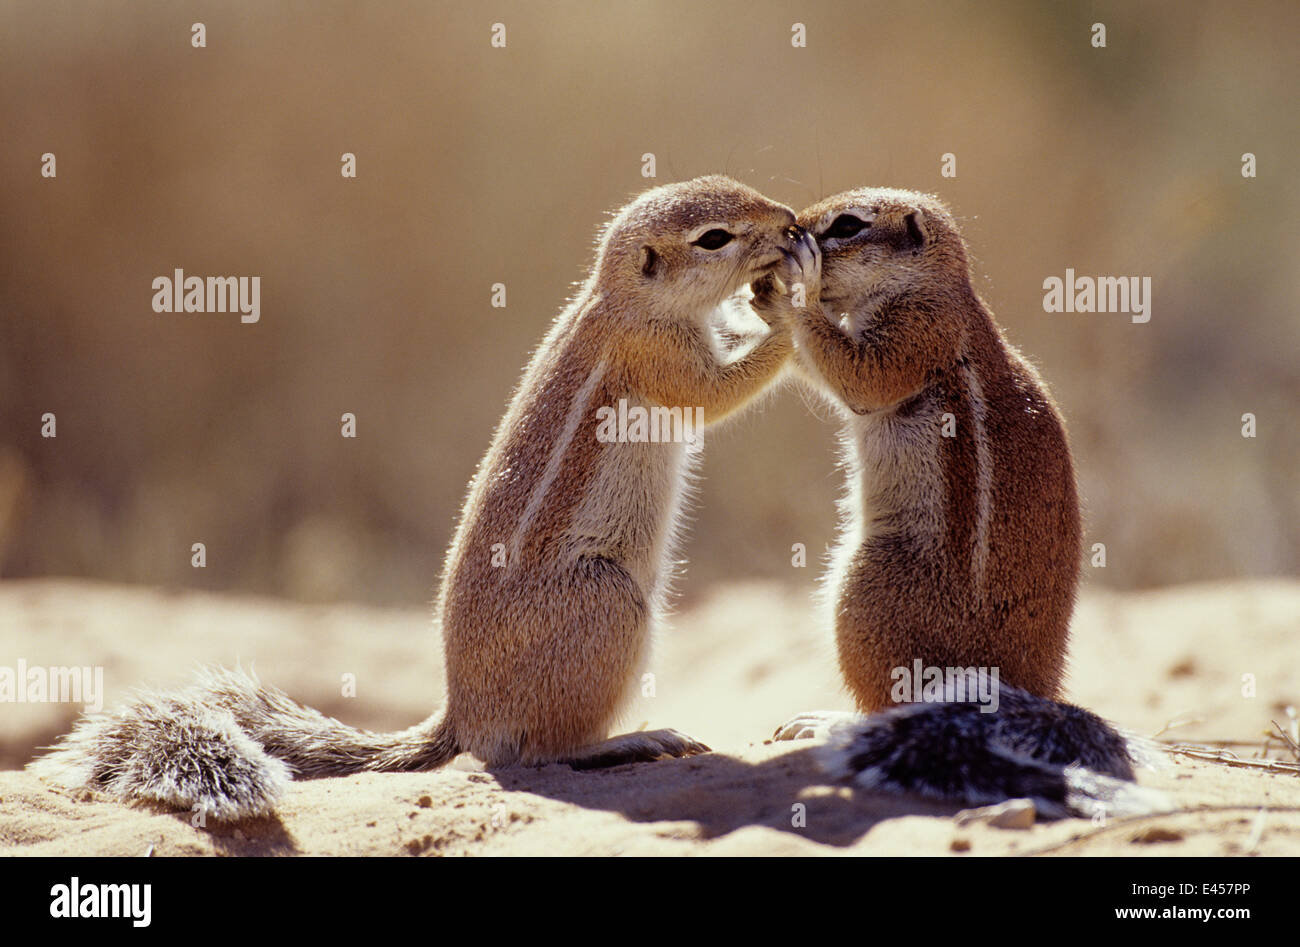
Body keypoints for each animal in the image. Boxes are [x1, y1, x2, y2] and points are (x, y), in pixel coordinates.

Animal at [35, 175, 816, 822]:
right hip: (609, 600)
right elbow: (718, 392)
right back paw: (631, 739)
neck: (624, 296)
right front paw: (793, 306)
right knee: (532, 751)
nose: (787, 220)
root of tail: (460, 714)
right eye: (713, 238)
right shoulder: (657, 355)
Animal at [769, 188, 1170, 816]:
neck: (932, 287)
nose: (792, 231)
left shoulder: (917, 334)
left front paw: (791, 284)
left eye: (848, 226)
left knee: (887, 704)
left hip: (866, 589)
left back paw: (827, 723)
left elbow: (860, 376)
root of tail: (1015, 692)